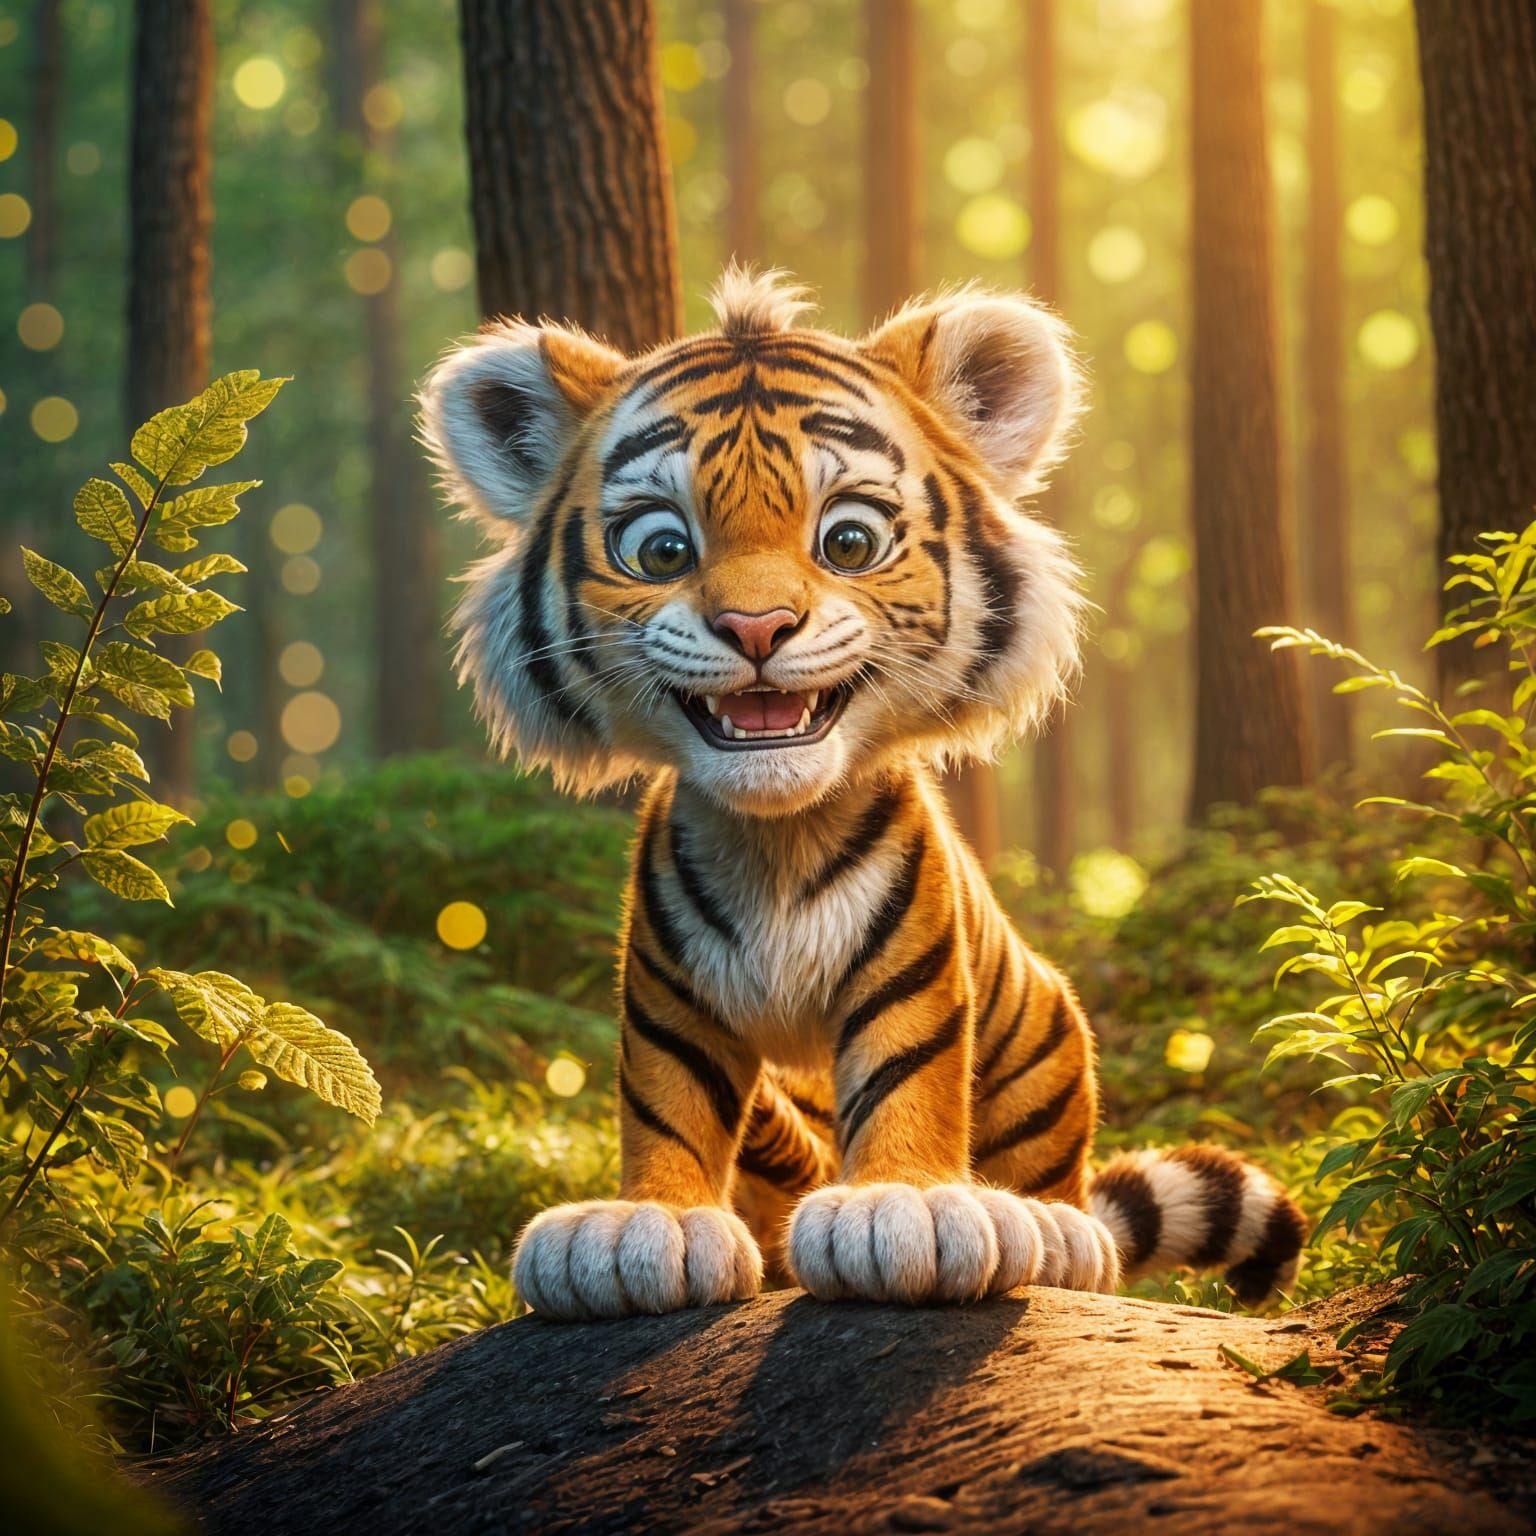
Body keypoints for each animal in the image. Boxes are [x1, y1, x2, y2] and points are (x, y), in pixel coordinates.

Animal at [419, 266, 1307, 1321]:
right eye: (662, 551)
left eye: (847, 540)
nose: (756, 625)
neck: (774, 837)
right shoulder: (666, 990)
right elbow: (665, 1098)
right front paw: (648, 1226)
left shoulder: (915, 965)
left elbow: (909, 1075)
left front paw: (904, 1210)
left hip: (1049, 1040)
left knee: (1070, 1201)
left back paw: (1050, 1228)